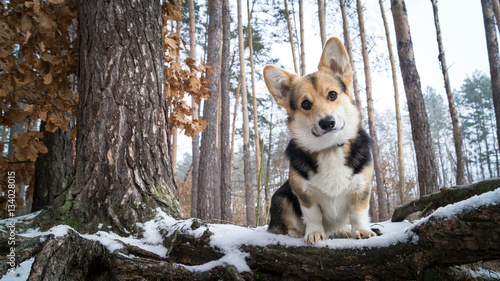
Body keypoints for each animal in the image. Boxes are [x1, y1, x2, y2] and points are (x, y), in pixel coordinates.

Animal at [266, 36, 376, 243]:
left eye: (332, 94)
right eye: (305, 104)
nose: (327, 122)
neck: (329, 148)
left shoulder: (361, 188)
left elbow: (358, 214)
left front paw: (361, 231)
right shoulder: (305, 194)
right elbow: (312, 216)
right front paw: (315, 234)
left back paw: (343, 230)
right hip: (280, 197)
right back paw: (296, 233)